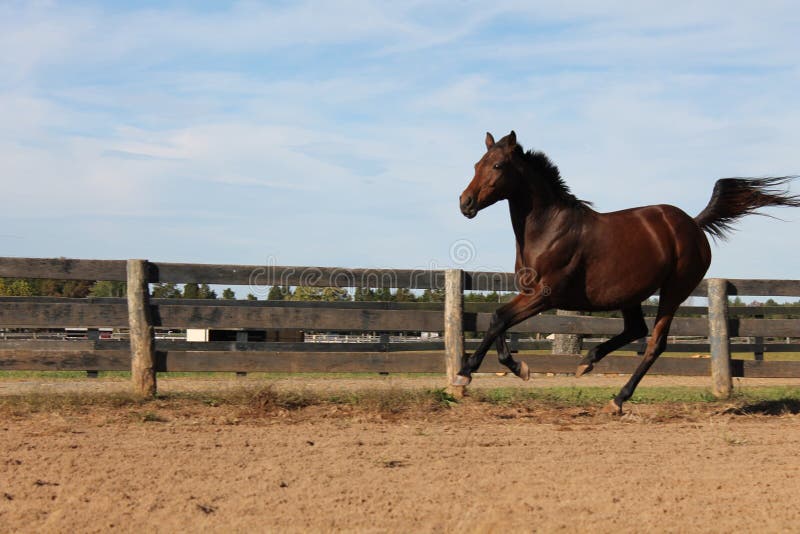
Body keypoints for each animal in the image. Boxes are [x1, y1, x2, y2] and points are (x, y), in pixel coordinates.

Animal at [454, 130, 799, 413]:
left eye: (497, 166)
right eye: (475, 164)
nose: (465, 203)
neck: (549, 228)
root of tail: (693, 224)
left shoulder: (545, 295)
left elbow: (499, 319)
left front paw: (464, 374)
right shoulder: (527, 292)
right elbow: (498, 320)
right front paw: (516, 368)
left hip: (674, 290)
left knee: (654, 343)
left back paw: (618, 398)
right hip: (630, 294)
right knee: (636, 330)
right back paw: (587, 363)